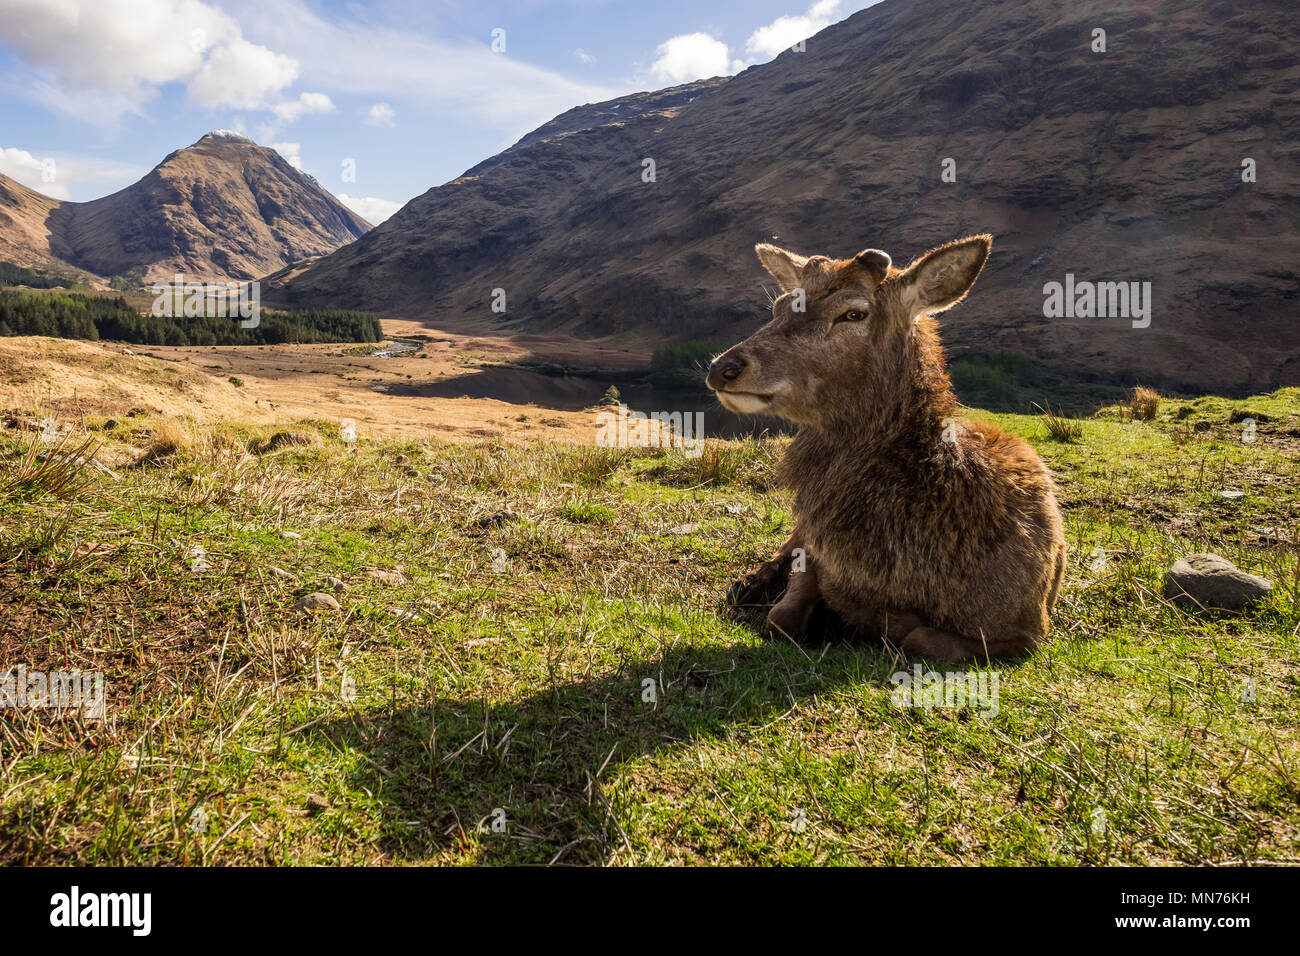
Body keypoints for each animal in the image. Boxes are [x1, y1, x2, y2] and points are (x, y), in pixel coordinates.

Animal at [706, 235, 1067, 662]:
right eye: (778, 306)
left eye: (854, 313)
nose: (722, 367)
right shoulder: (816, 556)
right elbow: (783, 617)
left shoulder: (1028, 628)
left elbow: (917, 639)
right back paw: (749, 581)